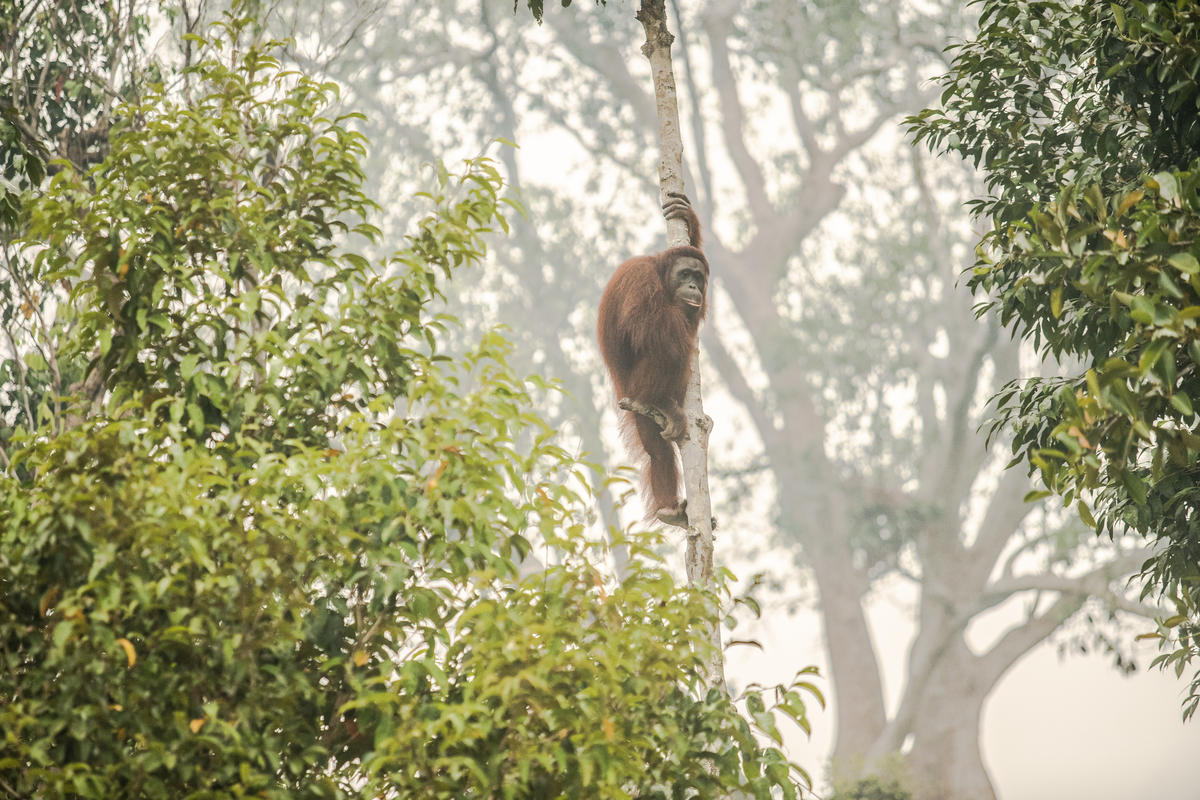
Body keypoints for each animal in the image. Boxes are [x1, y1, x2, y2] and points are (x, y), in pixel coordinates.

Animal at [597, 192, 708, 526]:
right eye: (685, 274)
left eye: (698, 276)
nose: (693, 286)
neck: (660, 273)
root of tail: (624, 391)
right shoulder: (641, 279)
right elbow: (643, 323)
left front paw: (689, 217)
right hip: (636, 386)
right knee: (670, 348)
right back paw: (664, 403)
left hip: (637, 407)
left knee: (656, 452)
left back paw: (669, 510)